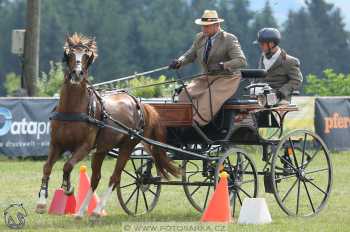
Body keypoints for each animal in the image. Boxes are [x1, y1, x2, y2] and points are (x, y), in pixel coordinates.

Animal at [35, 34, 179, 218]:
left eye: (87, 56)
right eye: (69, 54)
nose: (77, 74)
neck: (72, 111)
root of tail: (139, 102)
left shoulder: (84, 147)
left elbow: (67, 166)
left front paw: (68, 188)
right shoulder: (56, 144)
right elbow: (47, 168)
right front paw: (41, 202)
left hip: (126, 147)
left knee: (115, 177)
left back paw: (97, 211)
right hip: (102, 150)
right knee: (96, 178)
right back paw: (81, 212)